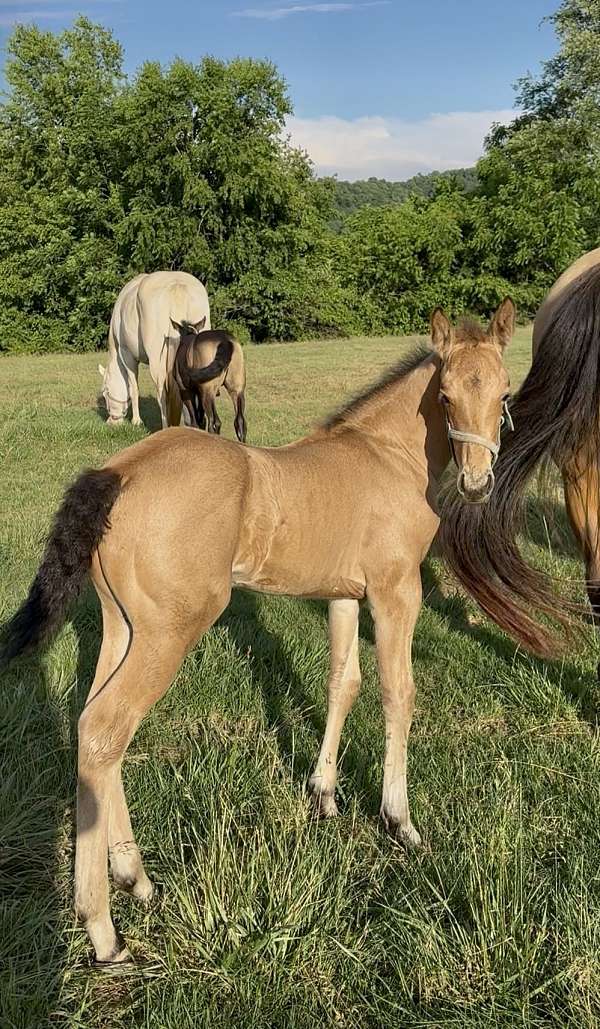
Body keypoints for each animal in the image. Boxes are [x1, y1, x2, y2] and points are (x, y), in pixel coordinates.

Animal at [1, 301, 576, 966]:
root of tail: (118, 472)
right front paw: (400, 820)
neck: (387, 455)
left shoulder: (343, 595)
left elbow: (342, 683)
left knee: (93, 728)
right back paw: (102, 929)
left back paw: (135, 878)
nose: (478, 483)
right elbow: (397, 693)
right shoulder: (396, 592)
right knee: (105, 730)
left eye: (504, 391)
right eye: (447, 395)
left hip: (124, 628)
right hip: (170, 631)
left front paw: (325, 794)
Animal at [98, 271, 211, 429]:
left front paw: (136, 421)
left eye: (105, 392)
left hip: (157, 363)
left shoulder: (127, 355)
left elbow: (133, 388)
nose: (111, 422)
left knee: (161, 394)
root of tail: (177, 287)